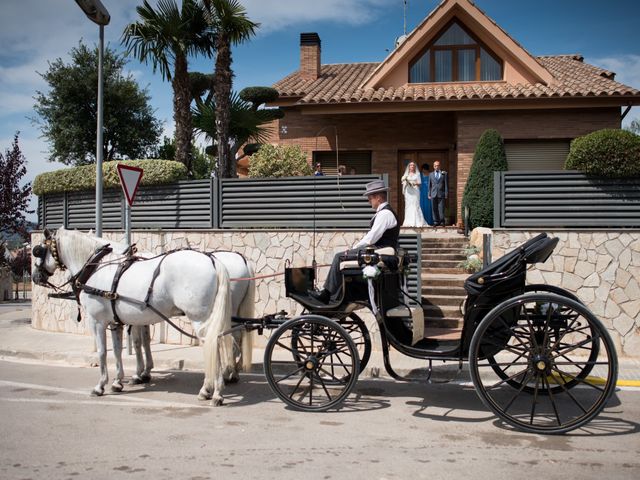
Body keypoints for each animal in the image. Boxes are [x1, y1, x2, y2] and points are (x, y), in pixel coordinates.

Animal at [31, 229, 232, 404]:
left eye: (38, 250)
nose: (35, 277)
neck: (96, 268)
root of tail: (211, 259)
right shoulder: (116, 322)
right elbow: (118, 350)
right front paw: (117, 381)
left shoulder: (97, 322)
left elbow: (103, 352)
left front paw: (100, 385)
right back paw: (214, 390)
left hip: (199, 319)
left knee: (212, 346)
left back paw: (211, 390)